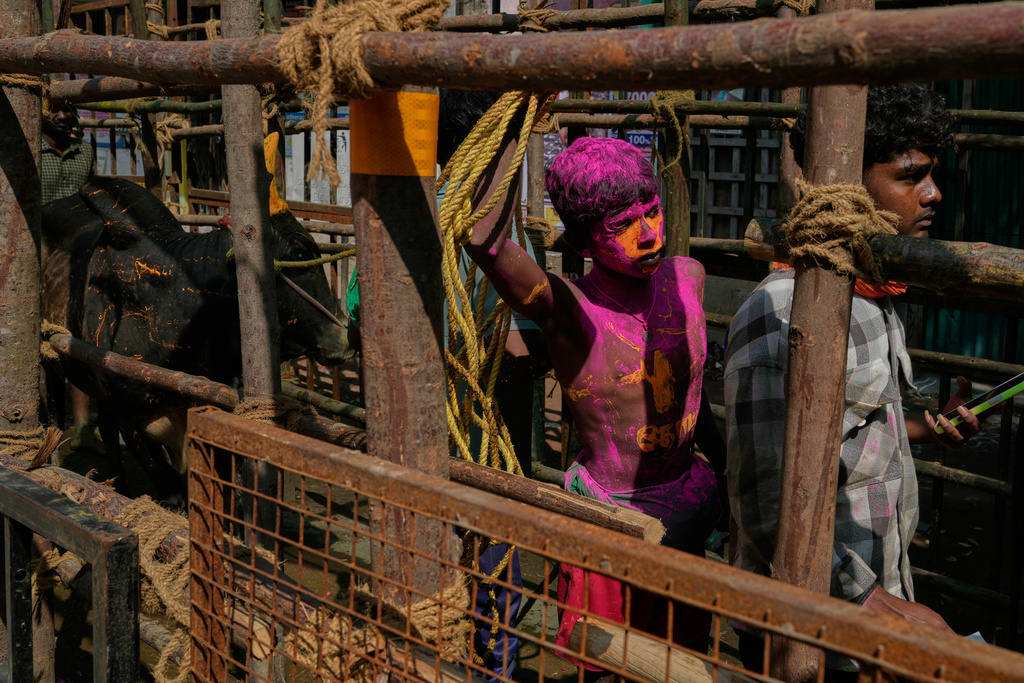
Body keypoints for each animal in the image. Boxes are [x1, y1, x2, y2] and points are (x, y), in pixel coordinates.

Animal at [41, 159, 348, 500]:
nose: (344, 336)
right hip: (50, 362)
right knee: (55, 408)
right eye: (299, 253)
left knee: (104, 428)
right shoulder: (127, 414)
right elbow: (171, 485)